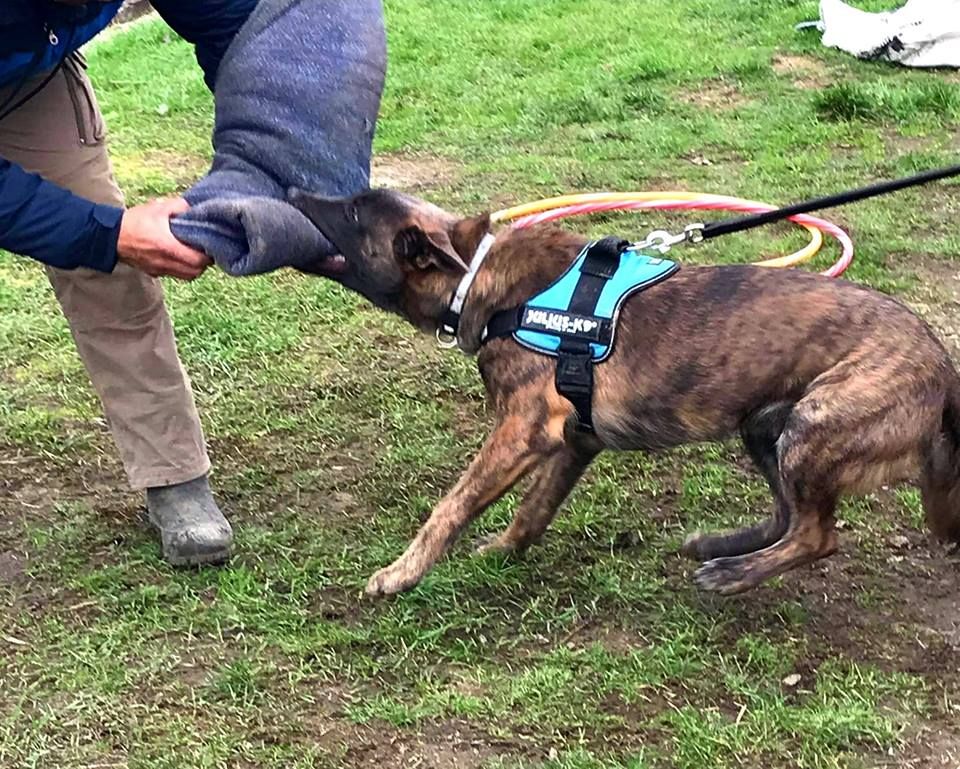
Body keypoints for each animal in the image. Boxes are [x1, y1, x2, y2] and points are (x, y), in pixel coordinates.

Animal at [288, 189, 960, 596]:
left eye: (352, 213)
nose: (293, 192)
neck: (477, 278)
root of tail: (944, 368)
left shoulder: (521, 432)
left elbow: (450, 507)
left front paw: (400, 574)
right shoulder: (575, 441)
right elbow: (534, 510)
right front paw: (504, 550)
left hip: (814, 428)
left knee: (818, 535)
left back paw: (732, 572)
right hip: (766, 430)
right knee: (788, 515)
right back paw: (722, 546)